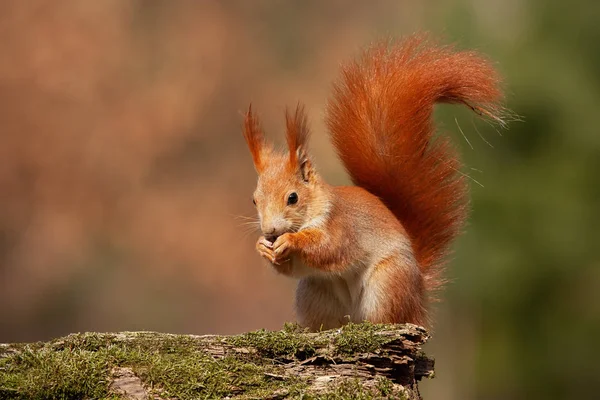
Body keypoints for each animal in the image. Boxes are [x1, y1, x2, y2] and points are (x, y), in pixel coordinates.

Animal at [241, 34, 504, 330]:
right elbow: (291, 268)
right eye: (254, 200)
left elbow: (329, 248)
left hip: (387, 282)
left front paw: (290, 241)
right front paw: (262, 247)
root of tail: (419, 296)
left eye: (293, 197)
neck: (314, 210)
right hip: (314, 293)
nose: (270, 231)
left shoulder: (343, 226)